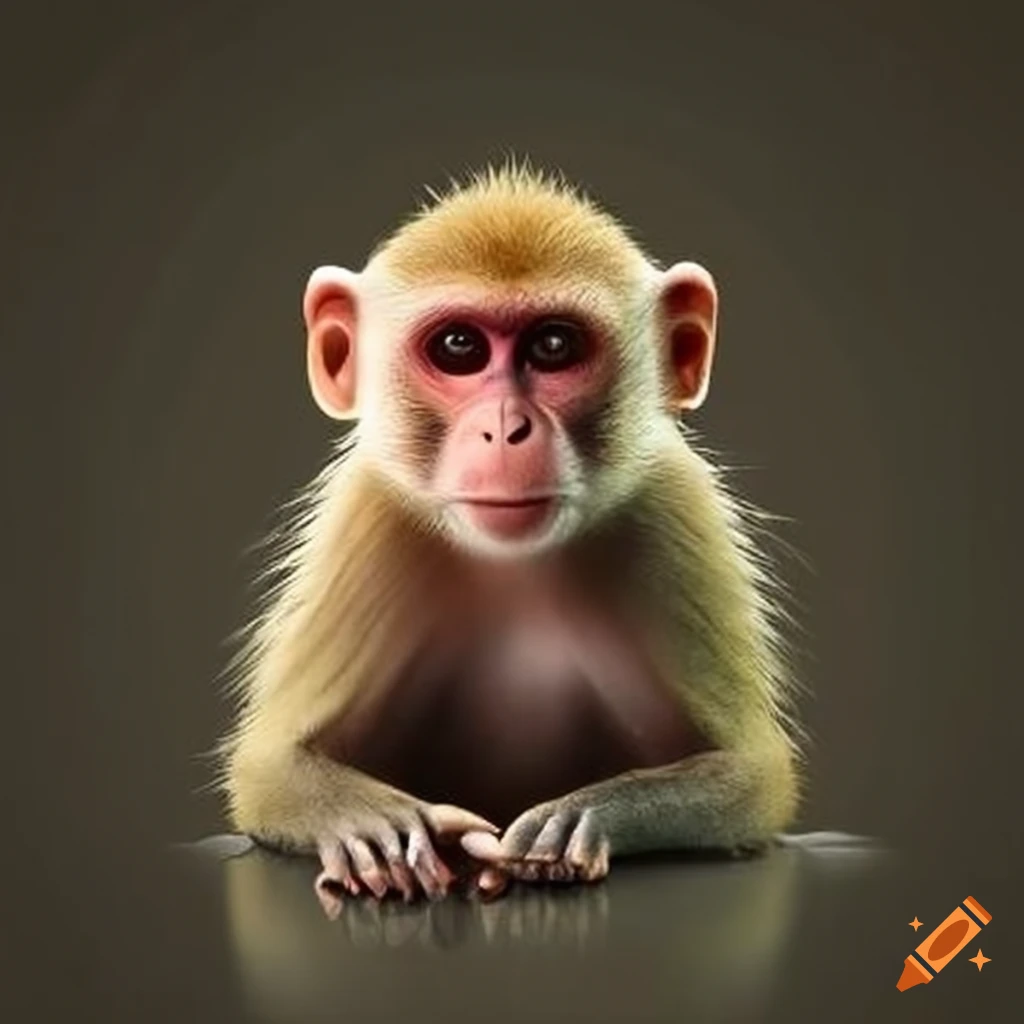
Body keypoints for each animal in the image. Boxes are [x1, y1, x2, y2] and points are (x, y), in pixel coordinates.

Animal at [217, 161, 803, 911]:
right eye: (459, 347)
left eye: (554, 346)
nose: (505, 426)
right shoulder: (368, 514)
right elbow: (267, 768)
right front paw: (378, 826)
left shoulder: (675, 506)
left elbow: (756, 776)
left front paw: (583, 816)